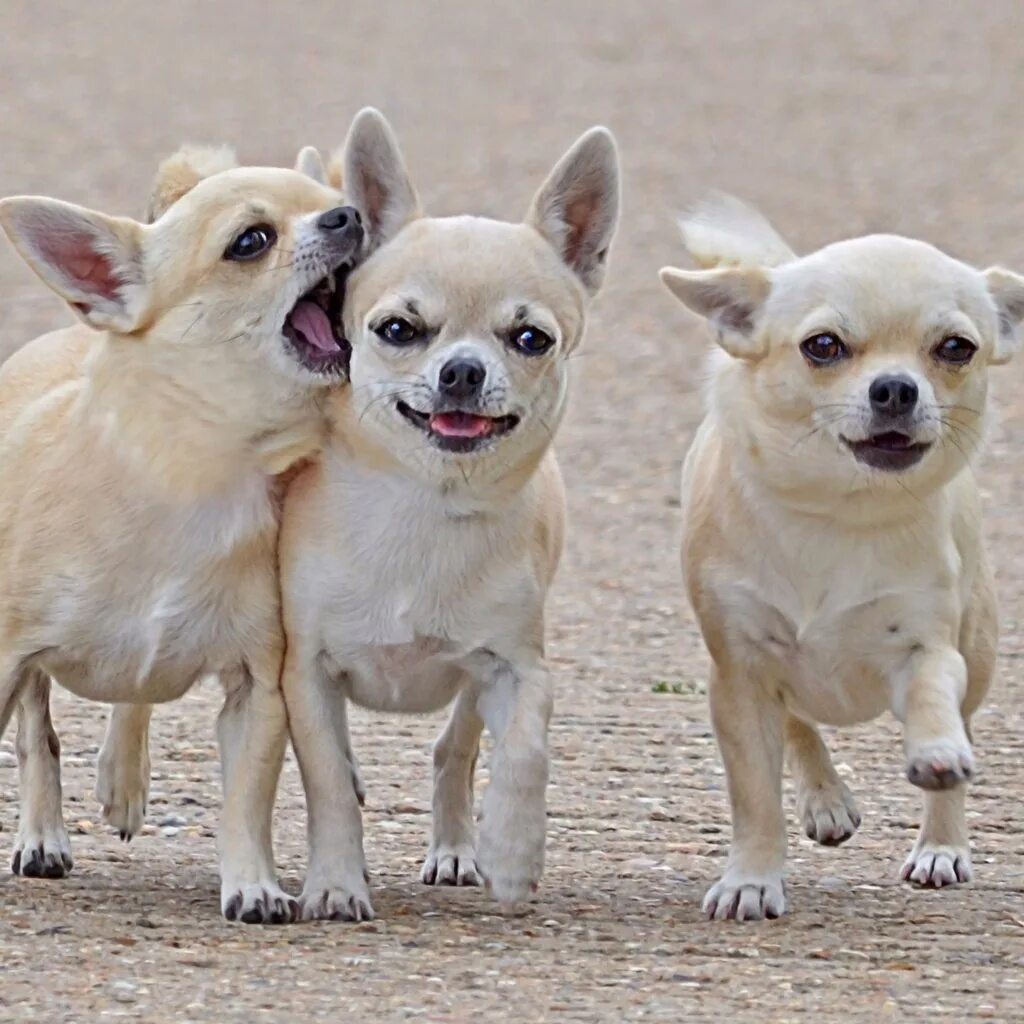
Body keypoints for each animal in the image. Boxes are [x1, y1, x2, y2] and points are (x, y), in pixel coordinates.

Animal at [0, 142, 364, 921]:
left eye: (331, 201)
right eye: (250, 242)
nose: (348, 215)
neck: (195, 474)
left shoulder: (258, 688)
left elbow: (247, 800)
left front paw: (253, 884)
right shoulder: (3, 656)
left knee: (129, 694)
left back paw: (123, 776)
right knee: (37, 732)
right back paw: (43, 835)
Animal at [272, 110, 618, 921]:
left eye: (531, 339)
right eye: (398, 329)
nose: (462, 370)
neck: (426, 505)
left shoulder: (520, 669)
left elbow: (525, 752)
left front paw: (514, 853)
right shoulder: (306, 673)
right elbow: (326, 783)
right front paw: (336, 882)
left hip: (472, 684)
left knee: (454, 750)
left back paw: (461, 847)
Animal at [659, 195, 1019, 925]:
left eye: (956, 348)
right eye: (822, 346)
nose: (896, 389)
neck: (838, 511)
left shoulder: (928, 646)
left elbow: (934, 695)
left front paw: (936, 753)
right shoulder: (740, 675)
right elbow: (755, 798)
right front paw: (752, 879)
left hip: (980, 653)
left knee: (958, 721)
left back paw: (941, 845)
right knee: (798, 721)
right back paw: (825, 799)